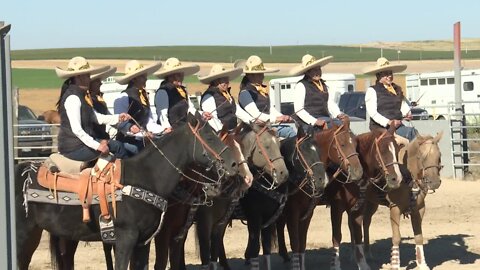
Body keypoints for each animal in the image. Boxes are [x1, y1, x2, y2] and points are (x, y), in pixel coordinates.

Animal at [15, 112, 238, 270]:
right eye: (209, 136)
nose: (233, 165)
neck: (146, 177)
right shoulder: (126, 238)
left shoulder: (143, 242)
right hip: (23, 235)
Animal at [274, 120, 364, 270]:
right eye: (342, 144)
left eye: (356, 143)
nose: (358, 172)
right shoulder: (295, 212)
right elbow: (297, 242)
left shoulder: (308, 212)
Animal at [364, 132, 442, 270]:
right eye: (422, 156)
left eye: (439, 156)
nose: (434, 182)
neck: (408, 177)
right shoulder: (395, 209)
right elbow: (396, 238)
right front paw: (395, 264)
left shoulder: (419, 209)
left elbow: (419, 237)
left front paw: (422, 264)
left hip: (371, 203)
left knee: (366, 222)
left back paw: (367, 254)